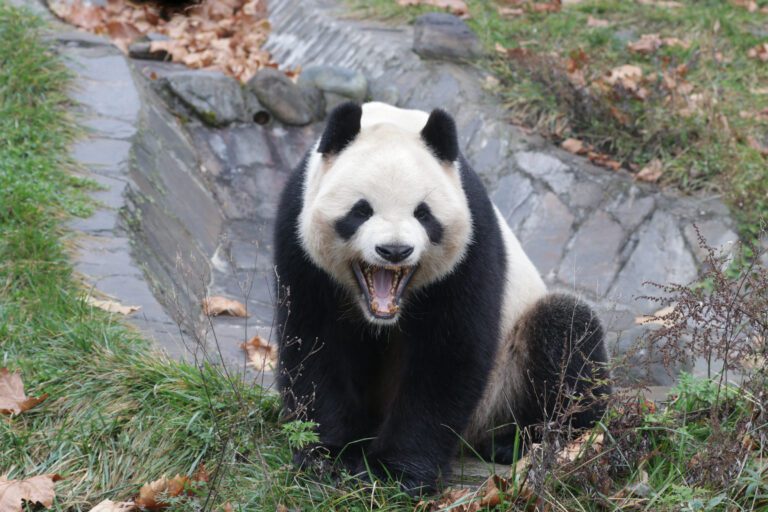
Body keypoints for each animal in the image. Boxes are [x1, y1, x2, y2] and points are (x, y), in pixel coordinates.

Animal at [272, 101, 608, 496]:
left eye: (423, 213)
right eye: (361, 210)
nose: (394, 250)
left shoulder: (471, 241)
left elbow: (448, 353)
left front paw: (396, 472)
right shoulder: (298, 233)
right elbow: (315, 342)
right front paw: (331, 455)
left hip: (503, 383)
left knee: (567, 333)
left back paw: (521, 442)